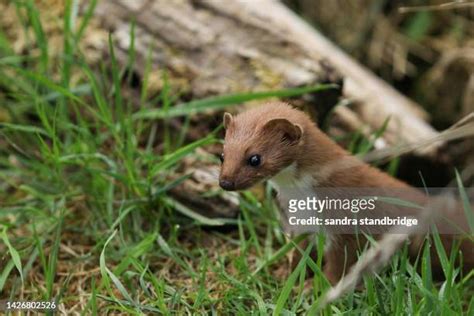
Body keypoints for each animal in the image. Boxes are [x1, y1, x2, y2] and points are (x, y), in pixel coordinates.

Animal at [219, 102, 474, 284]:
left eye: (255, 158)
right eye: (223, 154)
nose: (225, 182)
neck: (301, 196)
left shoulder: (346, 224)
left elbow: (341, 263)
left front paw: (318, 289)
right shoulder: (300, 223)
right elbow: (300, 255)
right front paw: (285, 275)